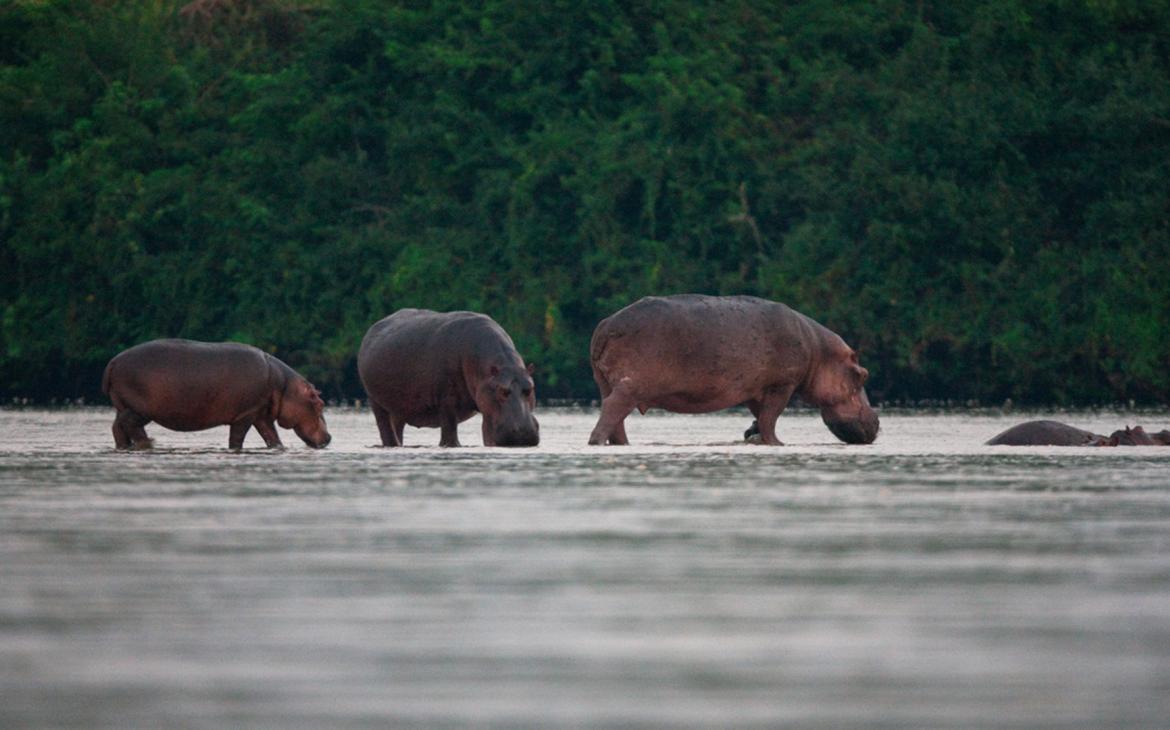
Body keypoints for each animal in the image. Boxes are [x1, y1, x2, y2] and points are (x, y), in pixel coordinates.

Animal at [102, 339, 329, 446]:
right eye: (320, 403)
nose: (329, 438)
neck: (285, 386)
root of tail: (113, 361)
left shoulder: (261, 414)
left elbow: (273, 439)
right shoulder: (246, 414)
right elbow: (237, 439)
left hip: (122, 404)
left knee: (117, 427)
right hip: (143, 409)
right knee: (128, 424)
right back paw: (149, 443)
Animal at [355, 306, 538, 444]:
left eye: (530, 388)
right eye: (502, 390)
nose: (524, 432)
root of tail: (371, 329)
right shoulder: (446, 400)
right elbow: (449, 432)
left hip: (399, 408)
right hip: (376, 402)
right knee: (385, 429)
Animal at [585, 294, 879, 444]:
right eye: (863, 375)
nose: (877, 421)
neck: (819, 352)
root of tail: (605, 325)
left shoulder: (755, 390)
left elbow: (761, 416)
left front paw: (752, 434)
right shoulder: (782, 385)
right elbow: (771, 417)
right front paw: (777, 444)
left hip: (605, 382)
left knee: (616, 419)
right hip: (632, 384)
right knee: (612, 409)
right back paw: (597, 441)